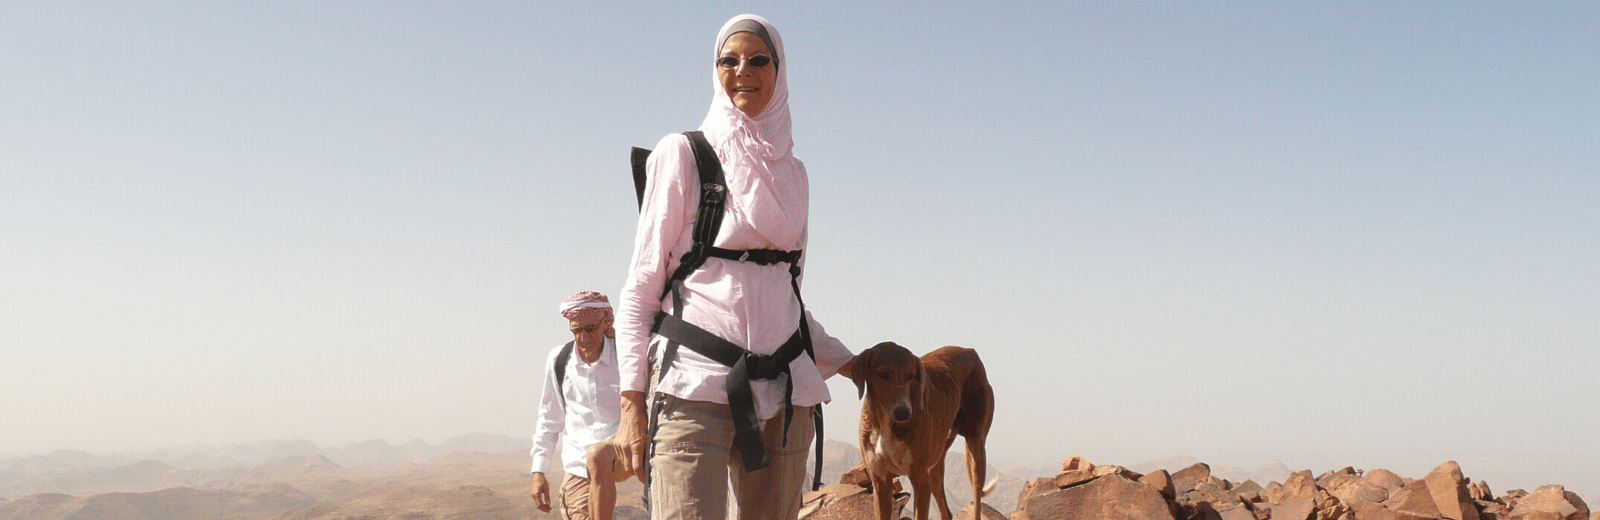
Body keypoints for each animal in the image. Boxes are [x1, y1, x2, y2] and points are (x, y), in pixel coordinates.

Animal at [851, 340, 985, 518]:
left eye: (911, 376)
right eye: (883, 374)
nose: (904, 413)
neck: (886, 424)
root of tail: (969, 350)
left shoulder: (920, 481)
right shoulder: (880, 482)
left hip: (975, 451)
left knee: (977, 499)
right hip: (935, 464)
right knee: (945, 509)